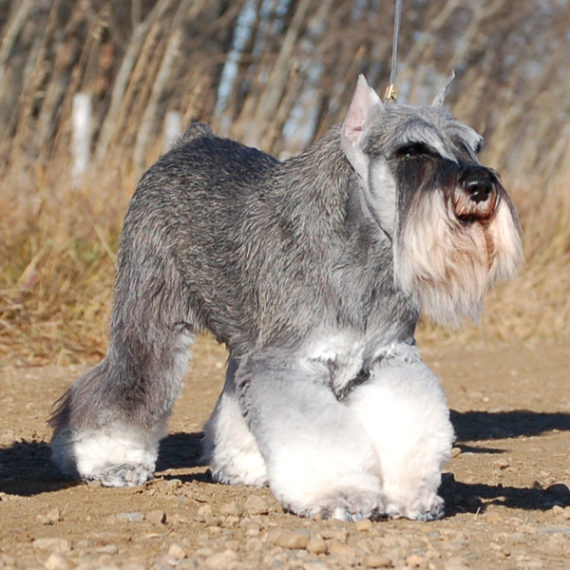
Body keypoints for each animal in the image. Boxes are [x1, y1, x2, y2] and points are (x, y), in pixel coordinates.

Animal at [51, 74, 520, 520]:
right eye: (412, 150)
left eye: (473, 145)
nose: (480, 184)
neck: (364, 246)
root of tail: (193, 140)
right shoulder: (289, 363)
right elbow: (317, 436)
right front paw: (339, 496)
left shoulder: (387, 359)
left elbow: (405, 423)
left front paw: (410, 497)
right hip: (150, 314)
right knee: (128, 380)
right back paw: (108, 459)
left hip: (247, 339)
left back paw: (242, 465)